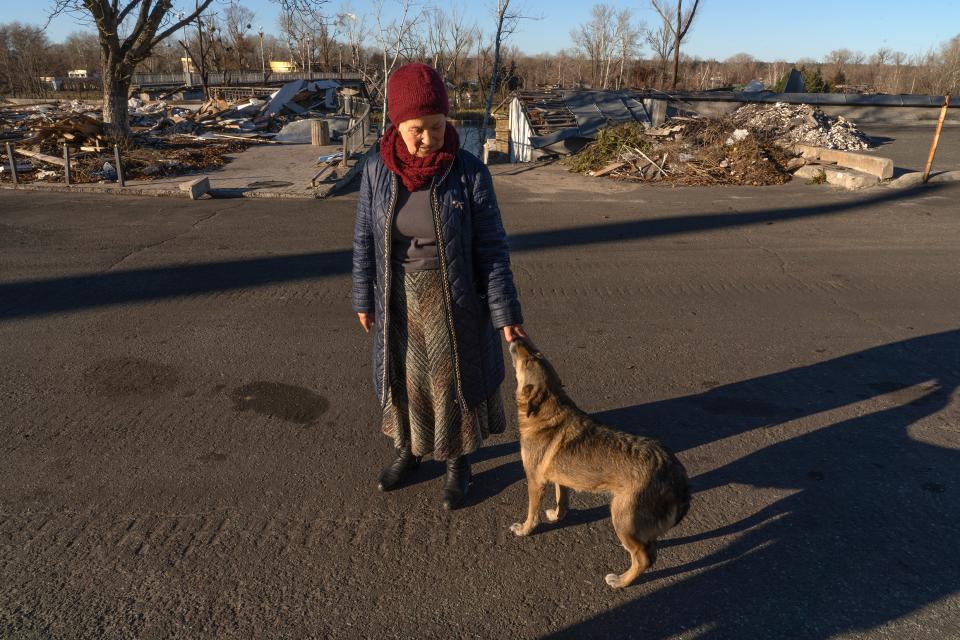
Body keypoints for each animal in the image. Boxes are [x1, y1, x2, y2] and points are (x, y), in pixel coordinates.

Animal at [510, 340, 688, 592]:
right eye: (535, 353)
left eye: (528, 360)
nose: (516, 339)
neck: (548, 409)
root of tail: (677, 474)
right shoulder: (560, 479)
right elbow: (562, 501)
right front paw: (557, 515)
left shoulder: (535, 482)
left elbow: (531, 515)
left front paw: (525, 530)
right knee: (649, 548)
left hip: (621, 516)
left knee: (644, 558)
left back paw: (621, 581)